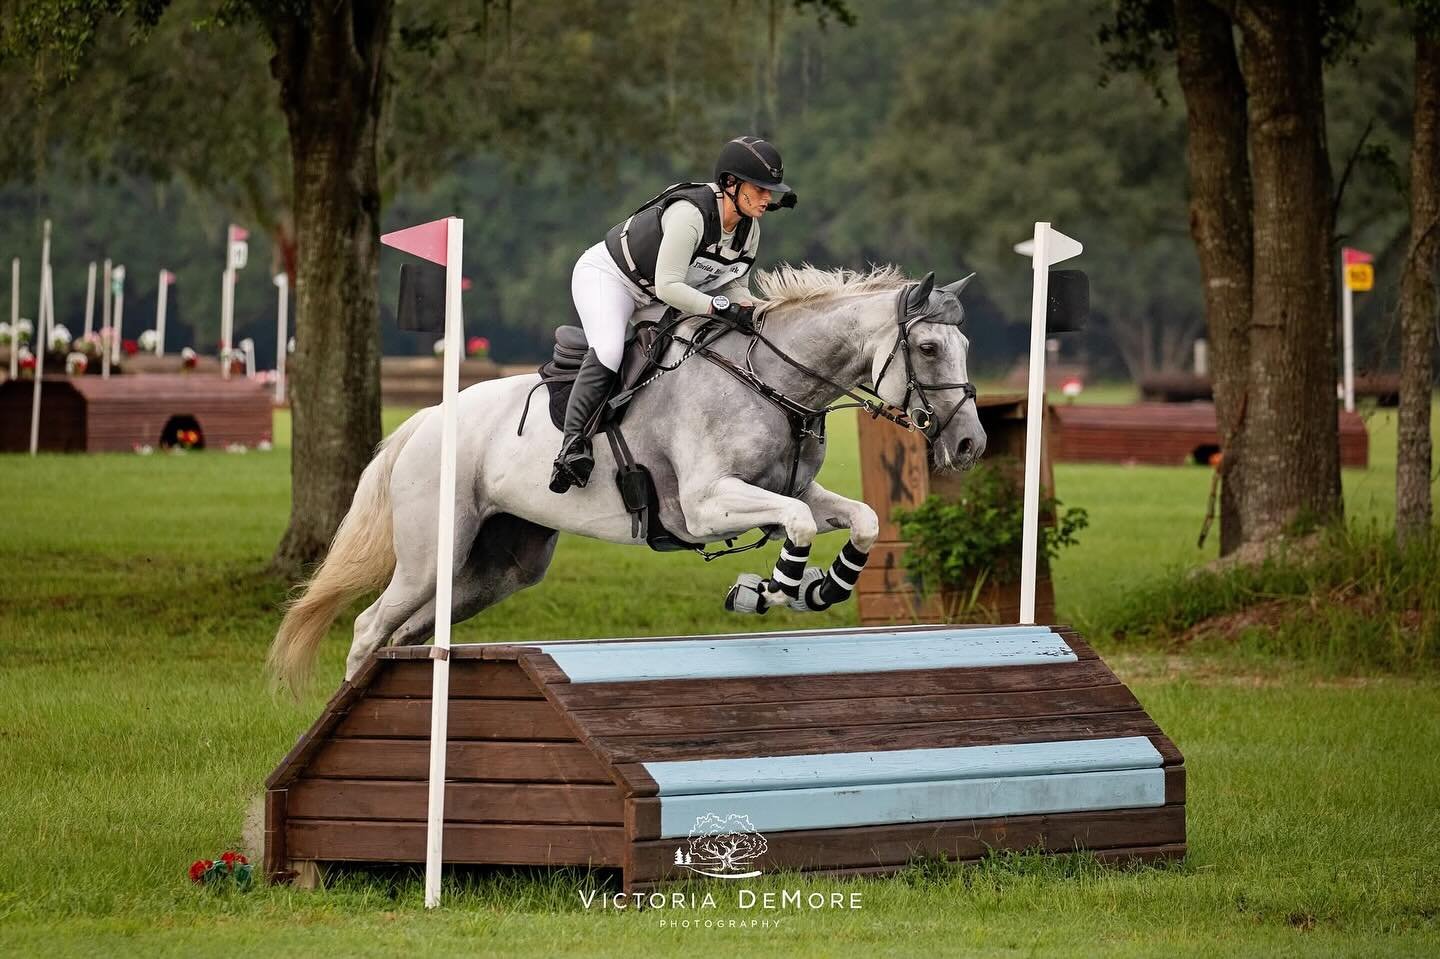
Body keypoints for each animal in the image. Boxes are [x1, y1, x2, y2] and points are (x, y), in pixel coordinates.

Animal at [267, 264, 987, 690]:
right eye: (928, 348)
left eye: (965, 347)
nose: (971, 443)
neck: (771, 380)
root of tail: (422, 421)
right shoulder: (704, 505)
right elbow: (802, 525)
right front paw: (770, 591)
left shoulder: (791, 488)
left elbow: (859, 518)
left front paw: (817, 588)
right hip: (432, 553)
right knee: (370, 627)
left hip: (496, 569)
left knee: (408, 634)